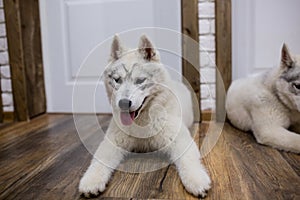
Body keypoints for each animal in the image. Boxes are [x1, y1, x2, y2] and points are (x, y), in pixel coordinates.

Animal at [79, 35, 211, 198]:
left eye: (140, 80)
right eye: (117, 80)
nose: (123, 103)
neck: (141, 121)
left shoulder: (180, 140)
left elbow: (189, 160)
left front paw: (196, 180)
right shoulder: (112, 142)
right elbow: (99, 159)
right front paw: (91, 180)